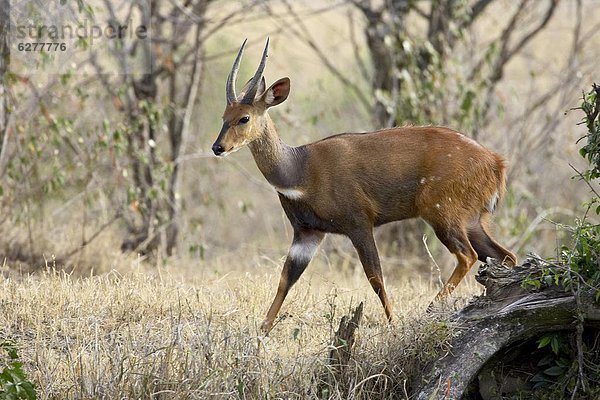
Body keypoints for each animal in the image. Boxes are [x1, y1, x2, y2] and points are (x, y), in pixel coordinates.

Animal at [213, 38, 516, 332]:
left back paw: (429, 310)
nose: (218, 147)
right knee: (504, 256)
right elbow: (286, 278)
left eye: (244, 118)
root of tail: (496, 164)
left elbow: (375, 277)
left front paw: (394, 325)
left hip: (442, 212)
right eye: (223, 116)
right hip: (472, 220)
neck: (299, 171)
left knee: (468, 255)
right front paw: (261, 332)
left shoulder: (358, 223)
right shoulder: (307, 233)